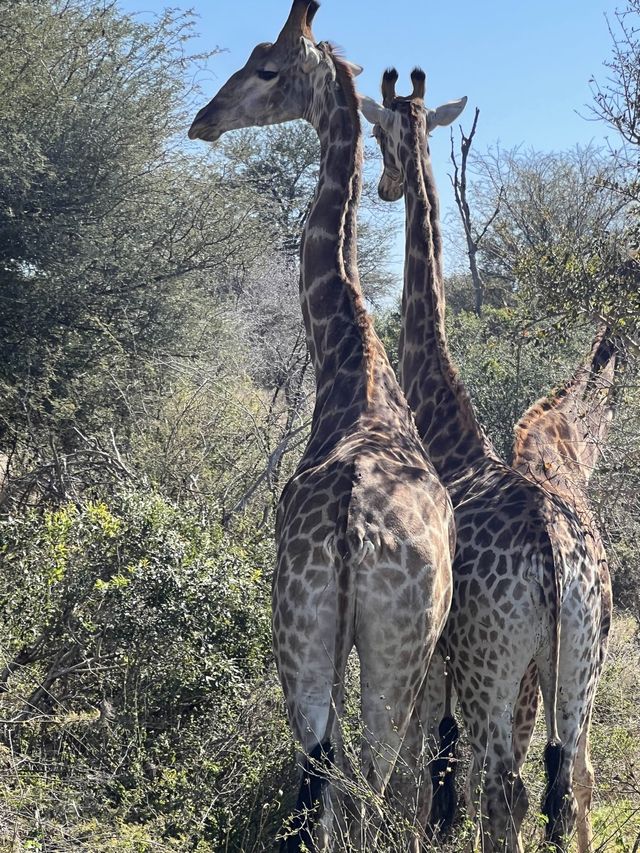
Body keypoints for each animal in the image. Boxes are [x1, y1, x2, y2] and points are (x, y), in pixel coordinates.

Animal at [190, 3, 456, 848]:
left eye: (267, 67)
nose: (202, 120)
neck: (351, 363)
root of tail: (350, 525)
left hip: (320, 641)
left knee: (334, 776)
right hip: (365, 649)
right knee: (355, 777)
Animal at [360, 68, 608, 852]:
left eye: (378, 131)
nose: (385, 184)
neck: (449, 431)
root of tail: (554, 557)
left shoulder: (437, 663)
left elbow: (422, 778)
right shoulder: (526, 677)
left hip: (489, 663)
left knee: (506, 789)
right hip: (577, 663)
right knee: (568, 779)